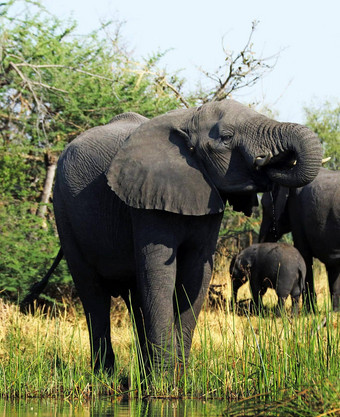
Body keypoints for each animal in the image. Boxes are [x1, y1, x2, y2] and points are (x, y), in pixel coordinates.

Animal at [22, 99, 322, 372]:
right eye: (226, 137)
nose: (271, 160)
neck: (188, 118)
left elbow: (196, 275)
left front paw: (181, 377)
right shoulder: (146, 202)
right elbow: (159, 273)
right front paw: (165, 382)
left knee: (135, 298)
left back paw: (141, 373)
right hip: (64, 212)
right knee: (93, 294)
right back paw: (106, 378)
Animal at [260, 167, 340, 310]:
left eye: (264, 207)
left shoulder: (296, 212)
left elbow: (304, 256)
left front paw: (310, 311)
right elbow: (332, 266)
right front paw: (335, 312)